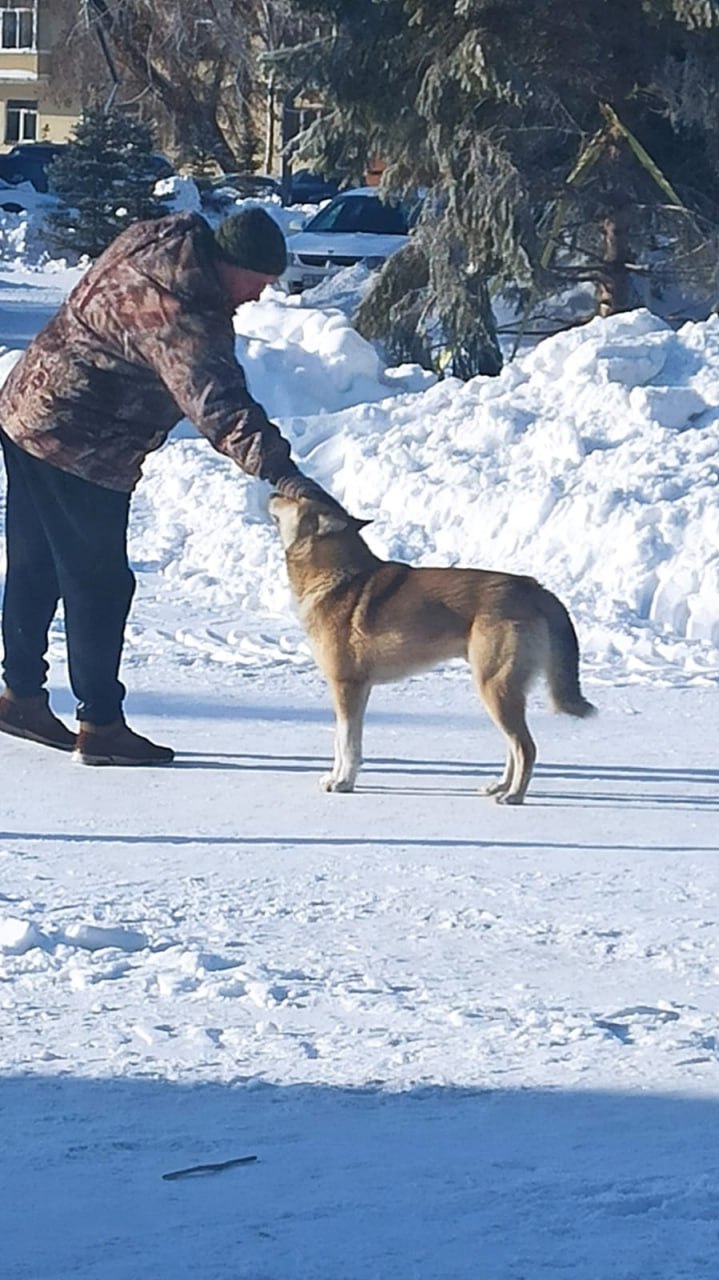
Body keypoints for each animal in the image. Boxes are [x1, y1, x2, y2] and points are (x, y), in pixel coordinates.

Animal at [268, 494, 593, 803]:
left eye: (295, 499)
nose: (272, 493)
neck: (338, 577)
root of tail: (535, 588)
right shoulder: (355, 690)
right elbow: (342, 741)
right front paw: (336, 778)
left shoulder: (347, 687)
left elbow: (347, 744)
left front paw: (344, 782)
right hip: (501, 693)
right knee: (513, 747)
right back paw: (499, 787)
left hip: (494, 688)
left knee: (526, 748)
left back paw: (514, 795)